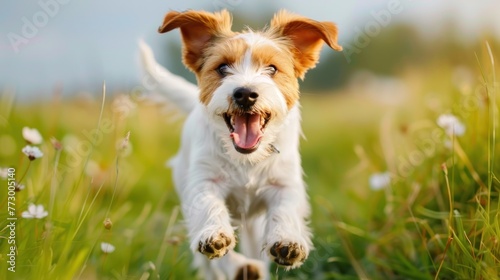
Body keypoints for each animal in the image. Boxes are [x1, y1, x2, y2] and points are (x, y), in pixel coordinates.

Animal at [141, 9, 342, 280]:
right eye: (223, 68)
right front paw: (215, 236)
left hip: (253, 226)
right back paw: (241, 267)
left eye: (272, 68)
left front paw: (288, 241)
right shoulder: (204, 182)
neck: (247, 159)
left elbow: (286, 209)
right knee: (212, 264)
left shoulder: (284, 183)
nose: (245, 93)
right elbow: (209, 207)